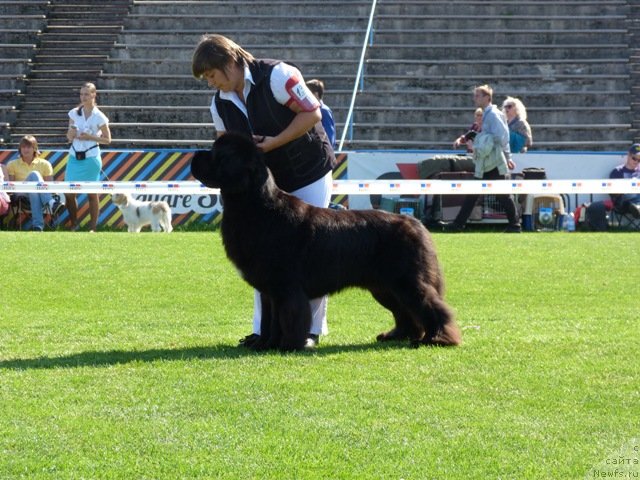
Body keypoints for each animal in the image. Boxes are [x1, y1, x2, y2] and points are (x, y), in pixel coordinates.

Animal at [190, 133, 460, 350]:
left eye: (217, 155)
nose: (195, 154)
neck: (255, 206)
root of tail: (415, 223)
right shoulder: (268, 289)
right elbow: (268, 320)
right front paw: (264, 344)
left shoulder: (285, 287)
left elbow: (287, 317)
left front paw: (287, 345)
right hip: (384, 286)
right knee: (405, 312)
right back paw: (396, 336)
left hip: (405, 280)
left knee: (431, 306)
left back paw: (439, 339)